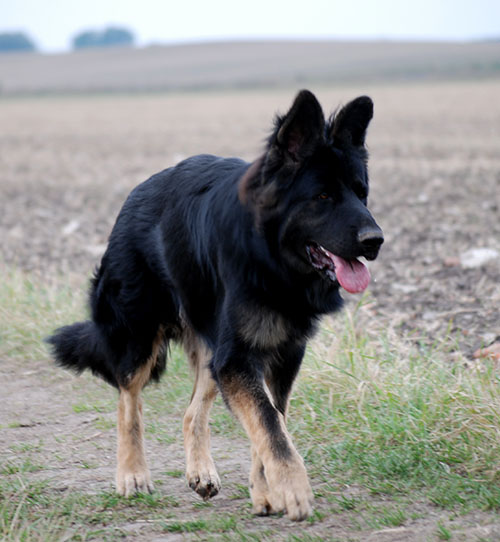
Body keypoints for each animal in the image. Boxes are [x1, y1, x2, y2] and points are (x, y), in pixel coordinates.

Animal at [47, 90, 383, 521]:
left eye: (361, 193)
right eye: (323, 196)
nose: (376, 240)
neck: (271, 261)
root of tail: (138, 191)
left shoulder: (280, 354)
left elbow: (272, 419)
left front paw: (267, 491)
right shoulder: (237, 357)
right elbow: (269, 423)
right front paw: (293, 488)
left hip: (210, 349)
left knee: (192, 412)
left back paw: (200, 472)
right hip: (140, 335)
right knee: (128, 400)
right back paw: (132, 474)